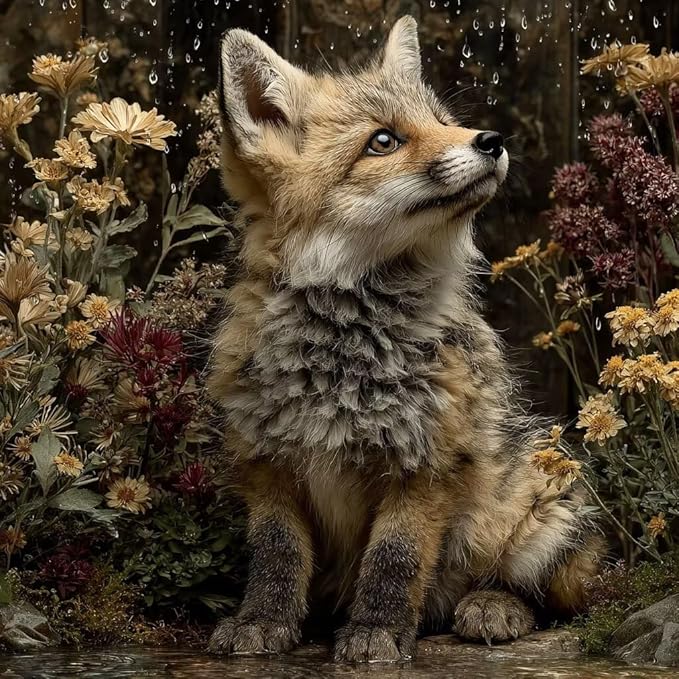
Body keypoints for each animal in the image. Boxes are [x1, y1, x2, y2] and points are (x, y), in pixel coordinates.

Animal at [206, 16, 603, 663]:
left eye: (442, 120)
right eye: (383, 141)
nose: (491, 139)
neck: (343, 359)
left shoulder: (426, 464)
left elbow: (394, 561)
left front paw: (377, 632)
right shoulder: (267, 464)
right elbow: (276, 556)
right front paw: (262, 622)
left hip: (535, 531)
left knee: (547, 600)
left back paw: (493, 607)